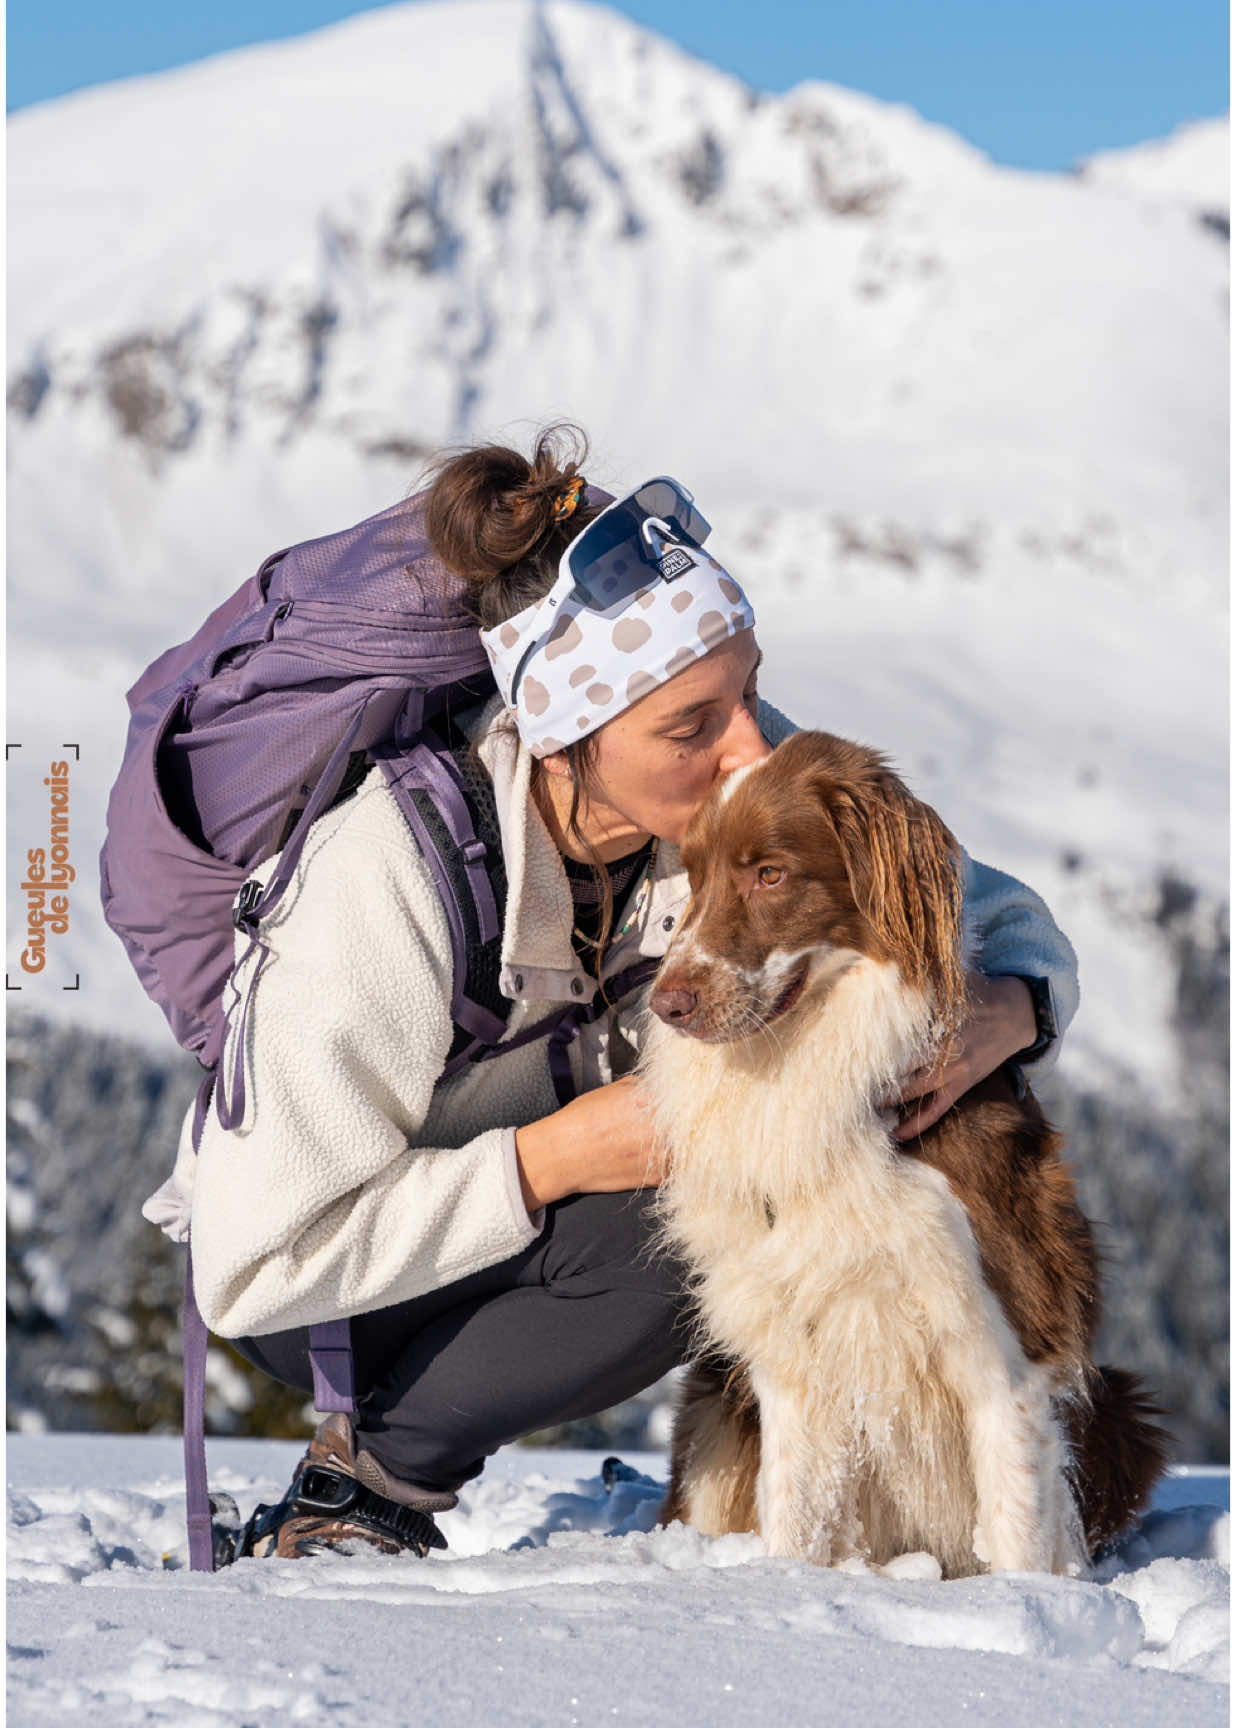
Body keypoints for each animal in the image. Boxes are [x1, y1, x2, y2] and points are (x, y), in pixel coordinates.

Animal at [646, 729, 1168, 1582]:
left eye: (770, 872)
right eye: (694, 874)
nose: (668, 1004)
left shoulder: (1006, 1354)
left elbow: (1019, 1535)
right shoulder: (792, 1358)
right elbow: (795, 1522)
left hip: (1124, 1411)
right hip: (715, 1404)